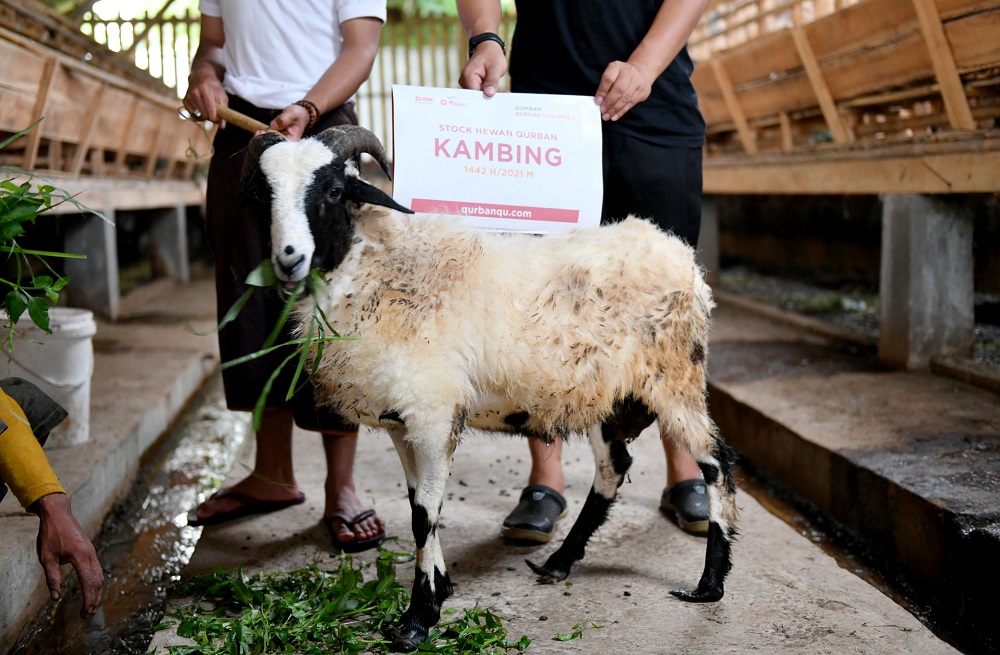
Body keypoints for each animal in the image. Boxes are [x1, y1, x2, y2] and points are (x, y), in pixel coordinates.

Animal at [240, 127, 744, 652]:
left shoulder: (433, 414)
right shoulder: (402, 421)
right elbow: (420, 504)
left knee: (715, 461)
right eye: (263, 194)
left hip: (675, 376)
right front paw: (439, 590)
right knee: (614, 467)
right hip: (604, 393)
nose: (289, 259)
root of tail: (673, 249)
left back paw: (709, 584)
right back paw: (559, 563)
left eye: (334, 190)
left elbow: (424, 515)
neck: (375, 266)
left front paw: (417, 620)